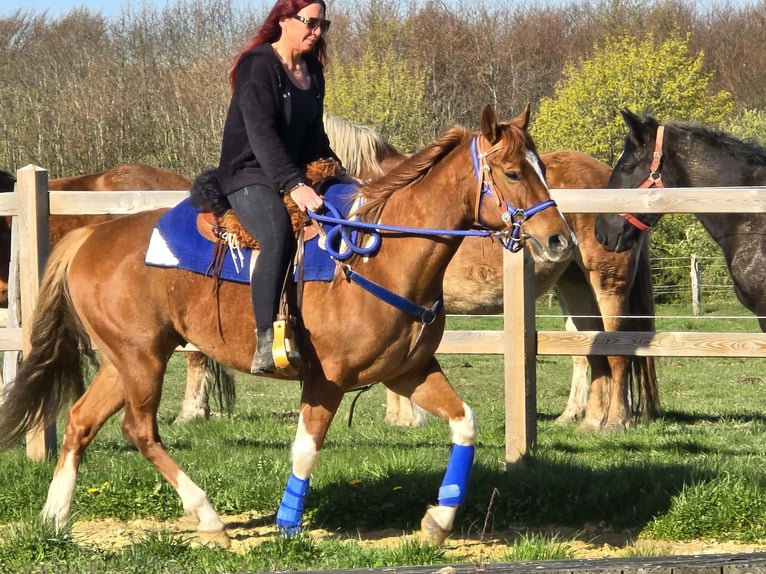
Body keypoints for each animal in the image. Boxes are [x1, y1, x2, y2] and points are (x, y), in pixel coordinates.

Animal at [324, 114, 660, 430]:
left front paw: (406, 417)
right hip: (574, 285)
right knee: (588, 346)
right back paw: (585, 418)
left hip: (607, 283)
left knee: (618, 348)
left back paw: (616, 420)